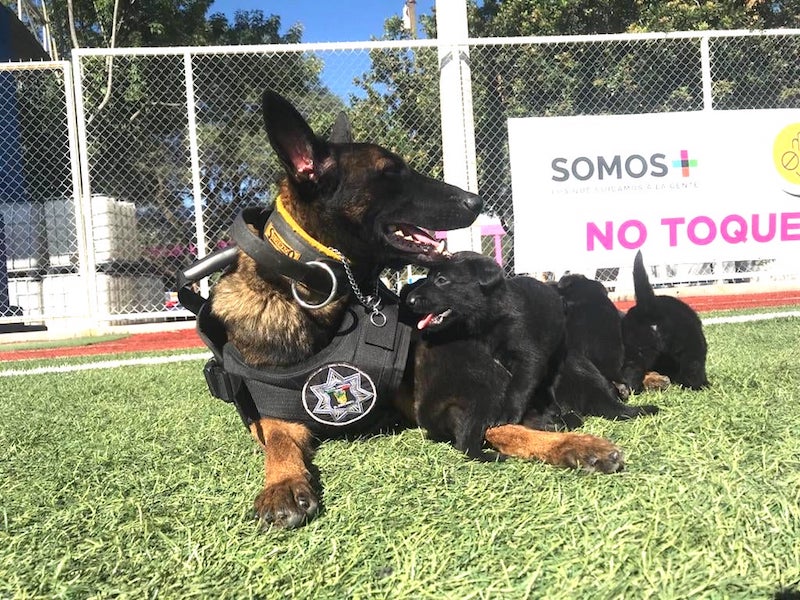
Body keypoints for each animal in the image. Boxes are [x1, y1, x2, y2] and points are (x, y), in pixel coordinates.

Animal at [404, 250, 564, 460]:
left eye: (441, 280)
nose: (409, 301)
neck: (486, 321)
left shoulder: (527, 354)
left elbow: (519, 386)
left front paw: (508, 413)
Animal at [620, 250, 708, 394]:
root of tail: (648, 307)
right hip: (690, 347)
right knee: (693, 368)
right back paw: (699, 386)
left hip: (635, 351)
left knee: (631, 372)